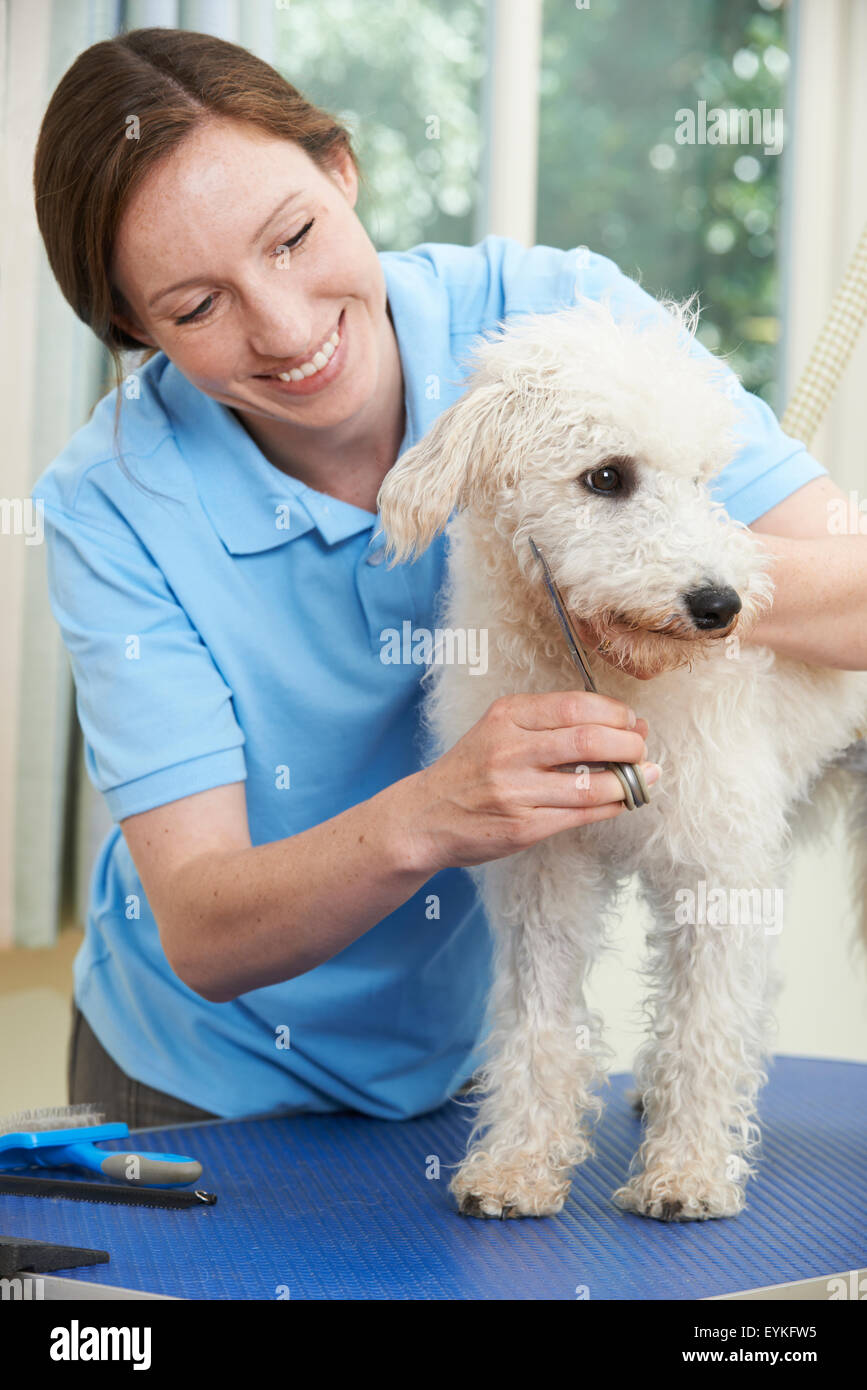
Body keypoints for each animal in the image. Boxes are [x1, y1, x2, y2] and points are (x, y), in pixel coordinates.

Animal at [377, 293, 867, 1217]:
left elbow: (703, 1021)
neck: (614, 679)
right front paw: (519, 1164)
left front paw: (687, 1172)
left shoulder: (716, 872)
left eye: (703, 480)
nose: (720, 604)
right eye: (606, 476)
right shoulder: (543, 871)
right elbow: (538, 1025)